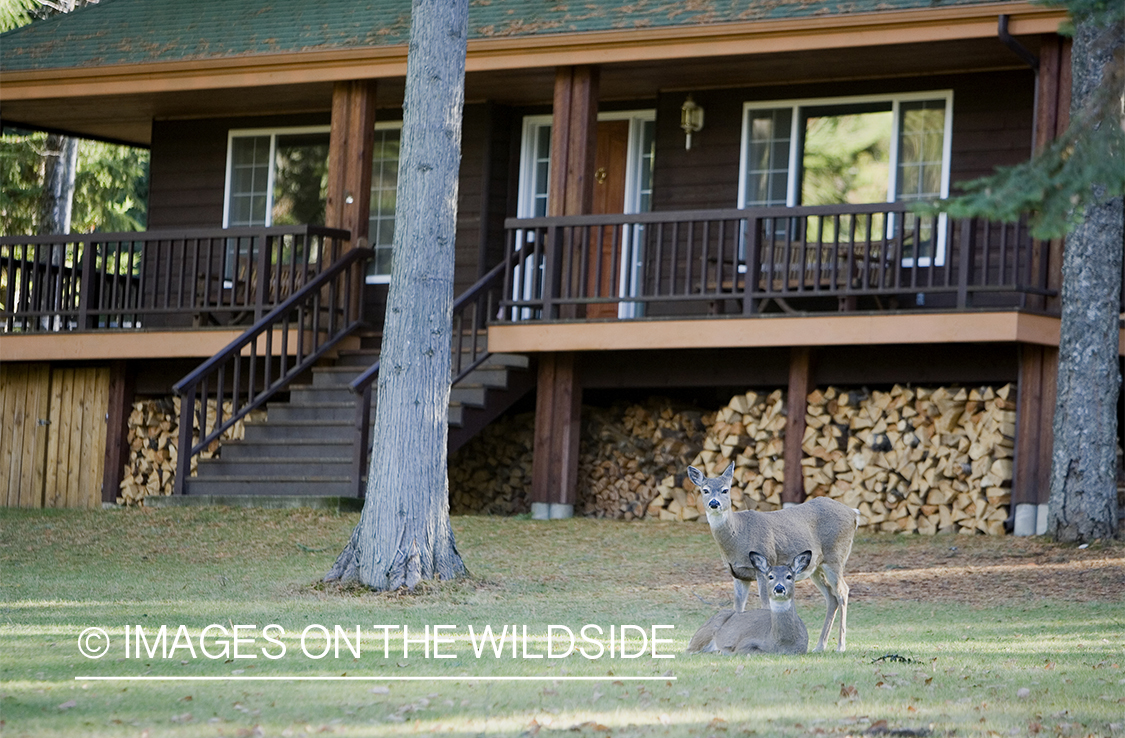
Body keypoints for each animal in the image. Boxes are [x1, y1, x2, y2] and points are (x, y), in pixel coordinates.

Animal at [679, 551, 814, 652]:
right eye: (770, 576)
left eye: (789, 576)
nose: (779, 588)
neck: (781, 643)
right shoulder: (744, 643)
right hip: (704, 633)